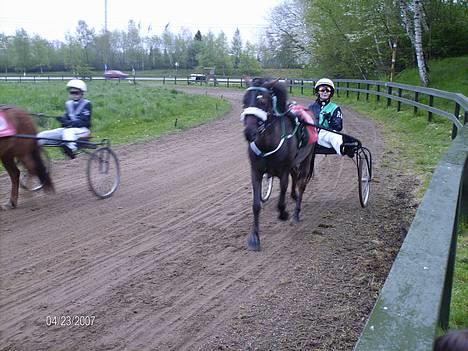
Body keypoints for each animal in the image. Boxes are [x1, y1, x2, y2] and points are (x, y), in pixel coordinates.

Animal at [241, 78, 314, 252]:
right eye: (244, 101)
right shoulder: (256, 172)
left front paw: (284, 214)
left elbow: (281, 198)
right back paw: (293, 195)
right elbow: (256, 205)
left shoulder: (283, 171)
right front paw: (254, 238)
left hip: (307, 158)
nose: (249, 132)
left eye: (263, 101)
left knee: (301, 183)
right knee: (296, 177)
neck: (267, 144)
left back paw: (295, 214)